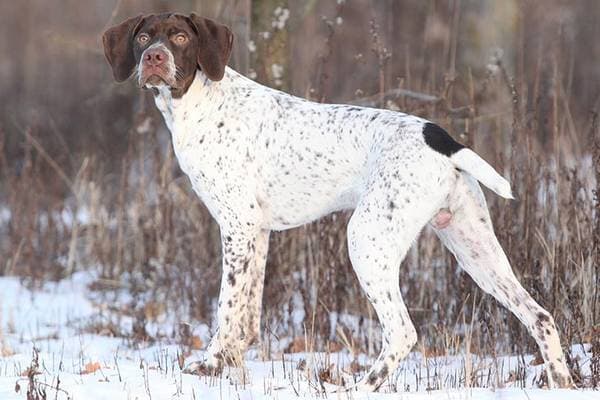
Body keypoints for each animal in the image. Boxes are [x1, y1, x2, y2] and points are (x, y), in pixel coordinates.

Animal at [103, 12, 572, 390]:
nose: (154, 58)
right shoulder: (256, 233)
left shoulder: (236, 227)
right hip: (476, 249)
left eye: (180, 38)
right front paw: (230, 366)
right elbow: (247, 316)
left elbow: (227, 309)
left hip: (367, 241)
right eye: (143, 38)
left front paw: (209, 365)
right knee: (540, 316)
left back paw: (360, 386)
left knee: (402, 332)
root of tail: (440, 137)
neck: (199, 103)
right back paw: (563, 383)